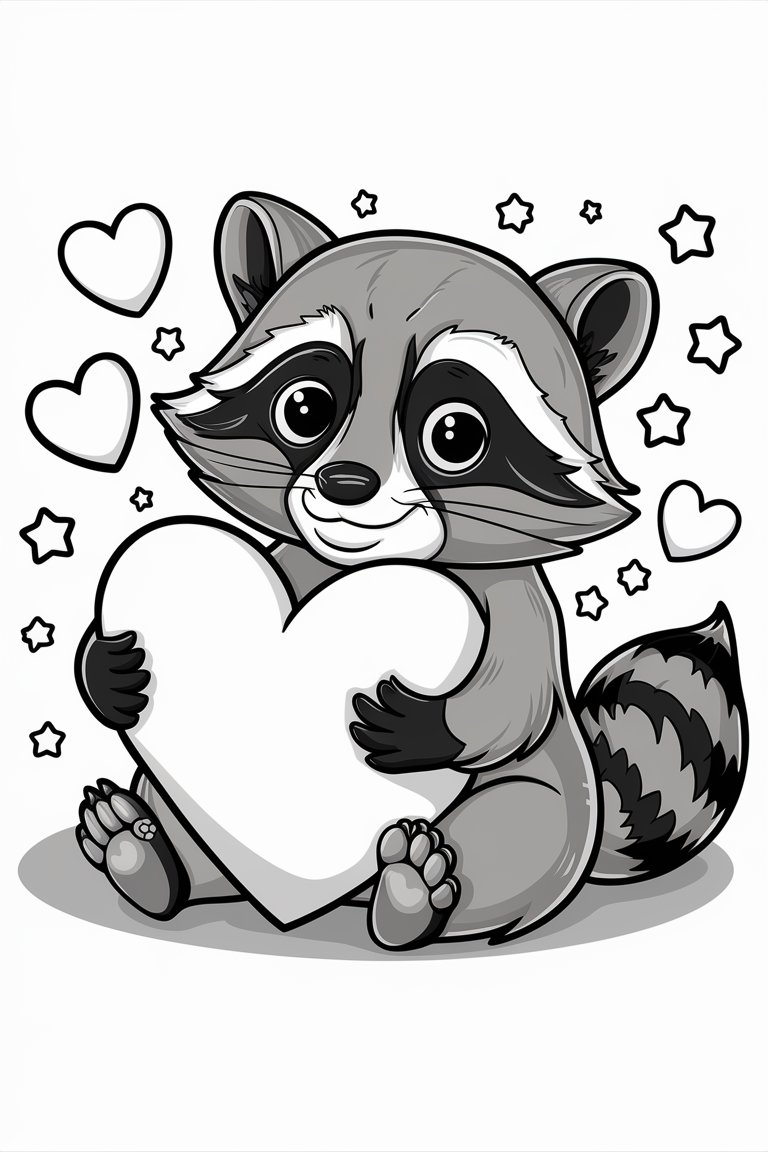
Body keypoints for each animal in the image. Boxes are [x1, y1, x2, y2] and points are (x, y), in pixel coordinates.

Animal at [75, 193, 747, 949]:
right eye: (305, 407)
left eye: (454, 435)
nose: (344, 482)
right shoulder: (289, 558)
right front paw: (101, 668)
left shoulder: (518, 598)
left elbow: (517, 695)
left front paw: (435, 727)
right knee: (182, 806)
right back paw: (145, 855)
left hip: (544, 817)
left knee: (516, 832)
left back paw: (414, 896)